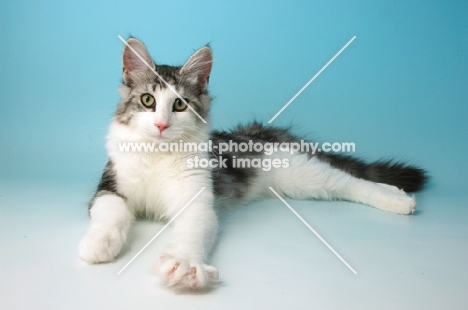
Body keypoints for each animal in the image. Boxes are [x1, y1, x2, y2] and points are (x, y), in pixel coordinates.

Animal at [77, 37, 428, 290]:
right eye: (148, 100)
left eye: (179, 105)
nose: (161, 125)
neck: (158, 154)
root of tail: (258, 132)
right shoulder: (110, 186)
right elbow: (110, 216)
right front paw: (97, 244)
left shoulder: (197, 199)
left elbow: (191, 234)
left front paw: (185, 264)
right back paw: (395, 191)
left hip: (303, 174)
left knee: (350, 181)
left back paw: (399, 200)